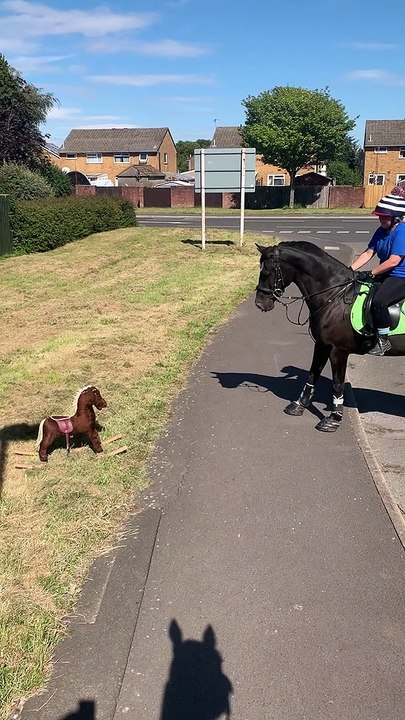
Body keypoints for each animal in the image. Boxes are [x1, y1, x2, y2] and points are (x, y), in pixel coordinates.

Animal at [254, 240, 405, 432]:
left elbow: (337, 384)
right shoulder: (321, 345)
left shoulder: (338, 351)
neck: (334, 296)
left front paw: (333, 419)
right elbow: (312, 375)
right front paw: (298, 405)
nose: (260, 303)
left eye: (266, 272)